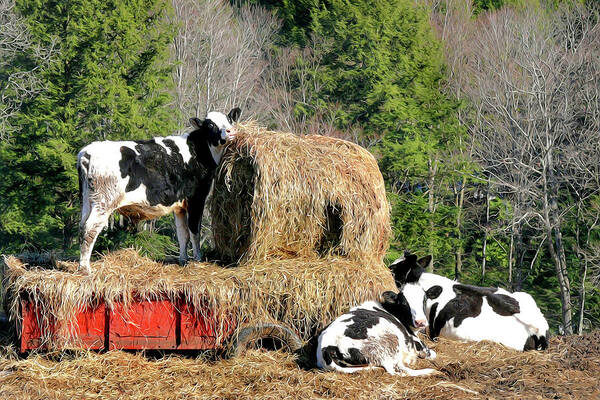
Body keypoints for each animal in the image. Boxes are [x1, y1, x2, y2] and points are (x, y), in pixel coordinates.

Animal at [77, 108, 241, 274]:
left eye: (228, 119)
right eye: (210, 124)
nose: (230, 131)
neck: (198, 152)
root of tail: (87, 152)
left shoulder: (179, 206)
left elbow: (182, 234)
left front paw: (183, 260)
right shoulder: (196, 198)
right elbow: (194, 230)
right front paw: (198, 260)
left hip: (88, 201)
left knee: (82, 226)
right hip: (104, 202)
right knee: (90, 229)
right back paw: (85, 269)